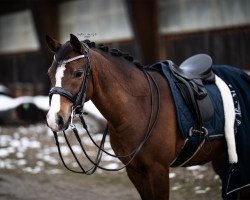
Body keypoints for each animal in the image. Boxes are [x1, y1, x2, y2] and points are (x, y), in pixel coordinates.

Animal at [46, 34, 249, 200]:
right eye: (50, 73)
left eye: (78, 73)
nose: (54, 119)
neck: (140, 106)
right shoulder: (135, 171)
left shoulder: (158, 170)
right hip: (222, 157)